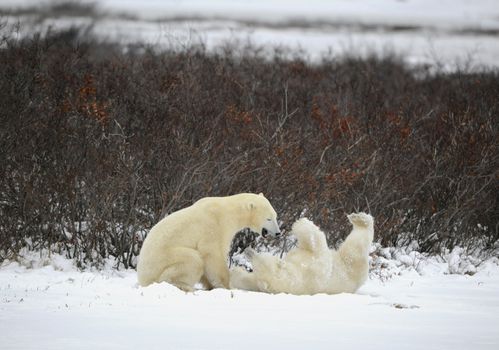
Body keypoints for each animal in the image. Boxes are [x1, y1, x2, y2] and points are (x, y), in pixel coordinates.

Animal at [137, 193, 282, 292]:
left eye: (275, 216)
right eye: (268, 218)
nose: (278, 233)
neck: (229, 211)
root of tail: (143, 277)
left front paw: (211, 285)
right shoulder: (214, 227)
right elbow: (213, 255)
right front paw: (227, 286)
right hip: (165, 259)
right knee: (192, 259)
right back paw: (185, 286)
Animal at [231, 213, 376, 296]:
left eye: (257, 259)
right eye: (256, 263)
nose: (247, 250)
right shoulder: (313, 270)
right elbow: (319, 247)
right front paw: (303, 223)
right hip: (352, 265)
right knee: (357, 244)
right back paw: (360, 219)